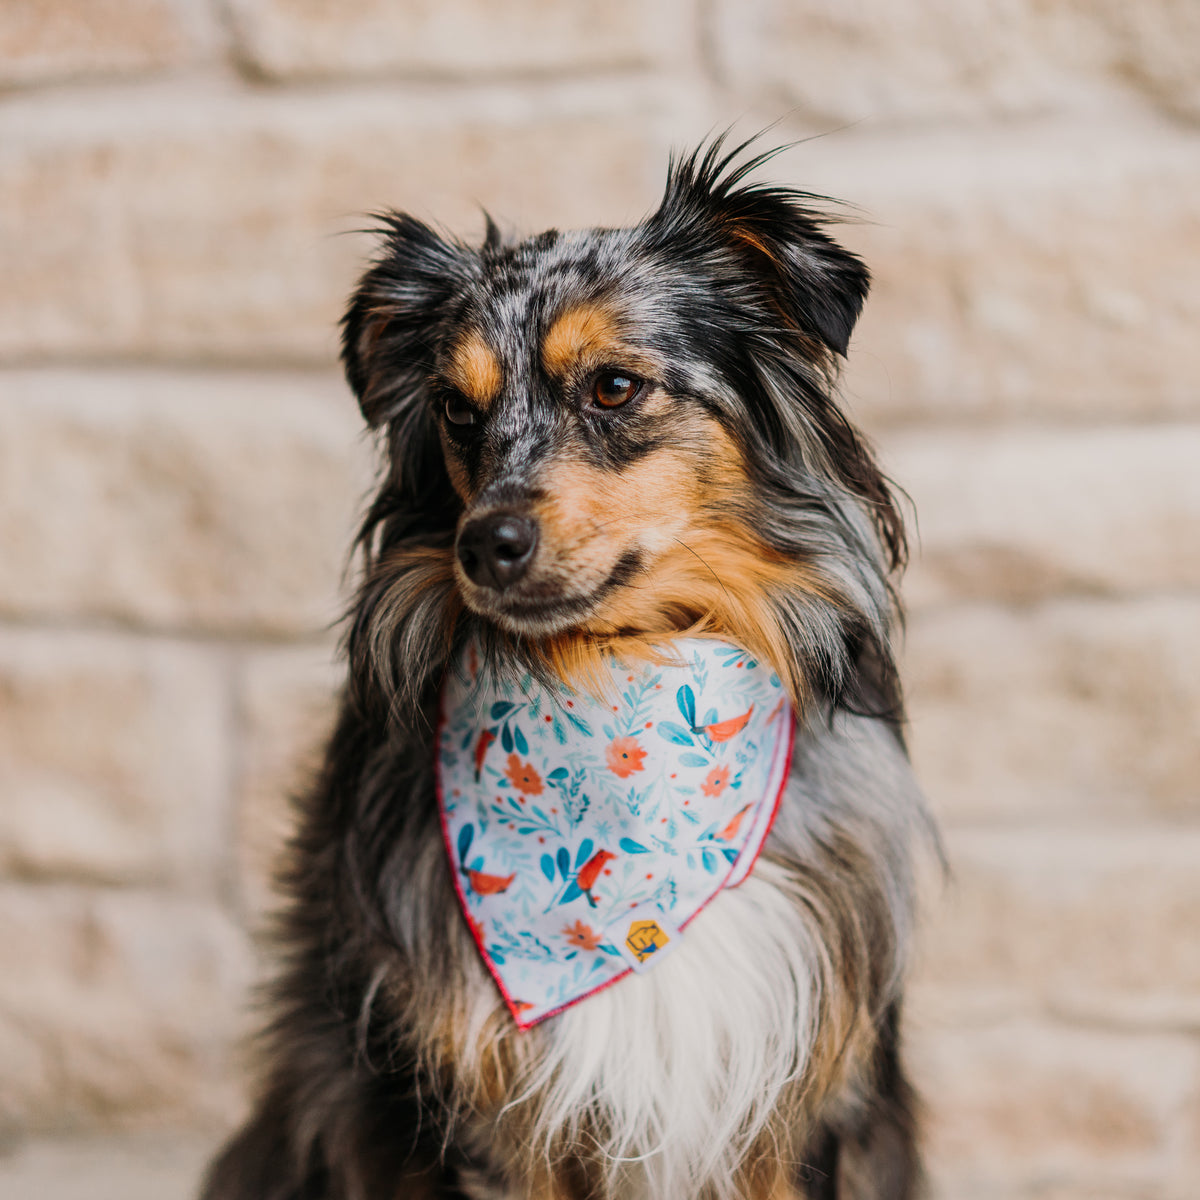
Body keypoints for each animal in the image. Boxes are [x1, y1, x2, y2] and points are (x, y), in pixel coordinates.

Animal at [204, 138, 936, 1200]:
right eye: (456, 411)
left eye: (614, 388)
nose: (483, 544)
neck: (611, 681)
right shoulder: (488, 1114)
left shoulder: (801, 1104)